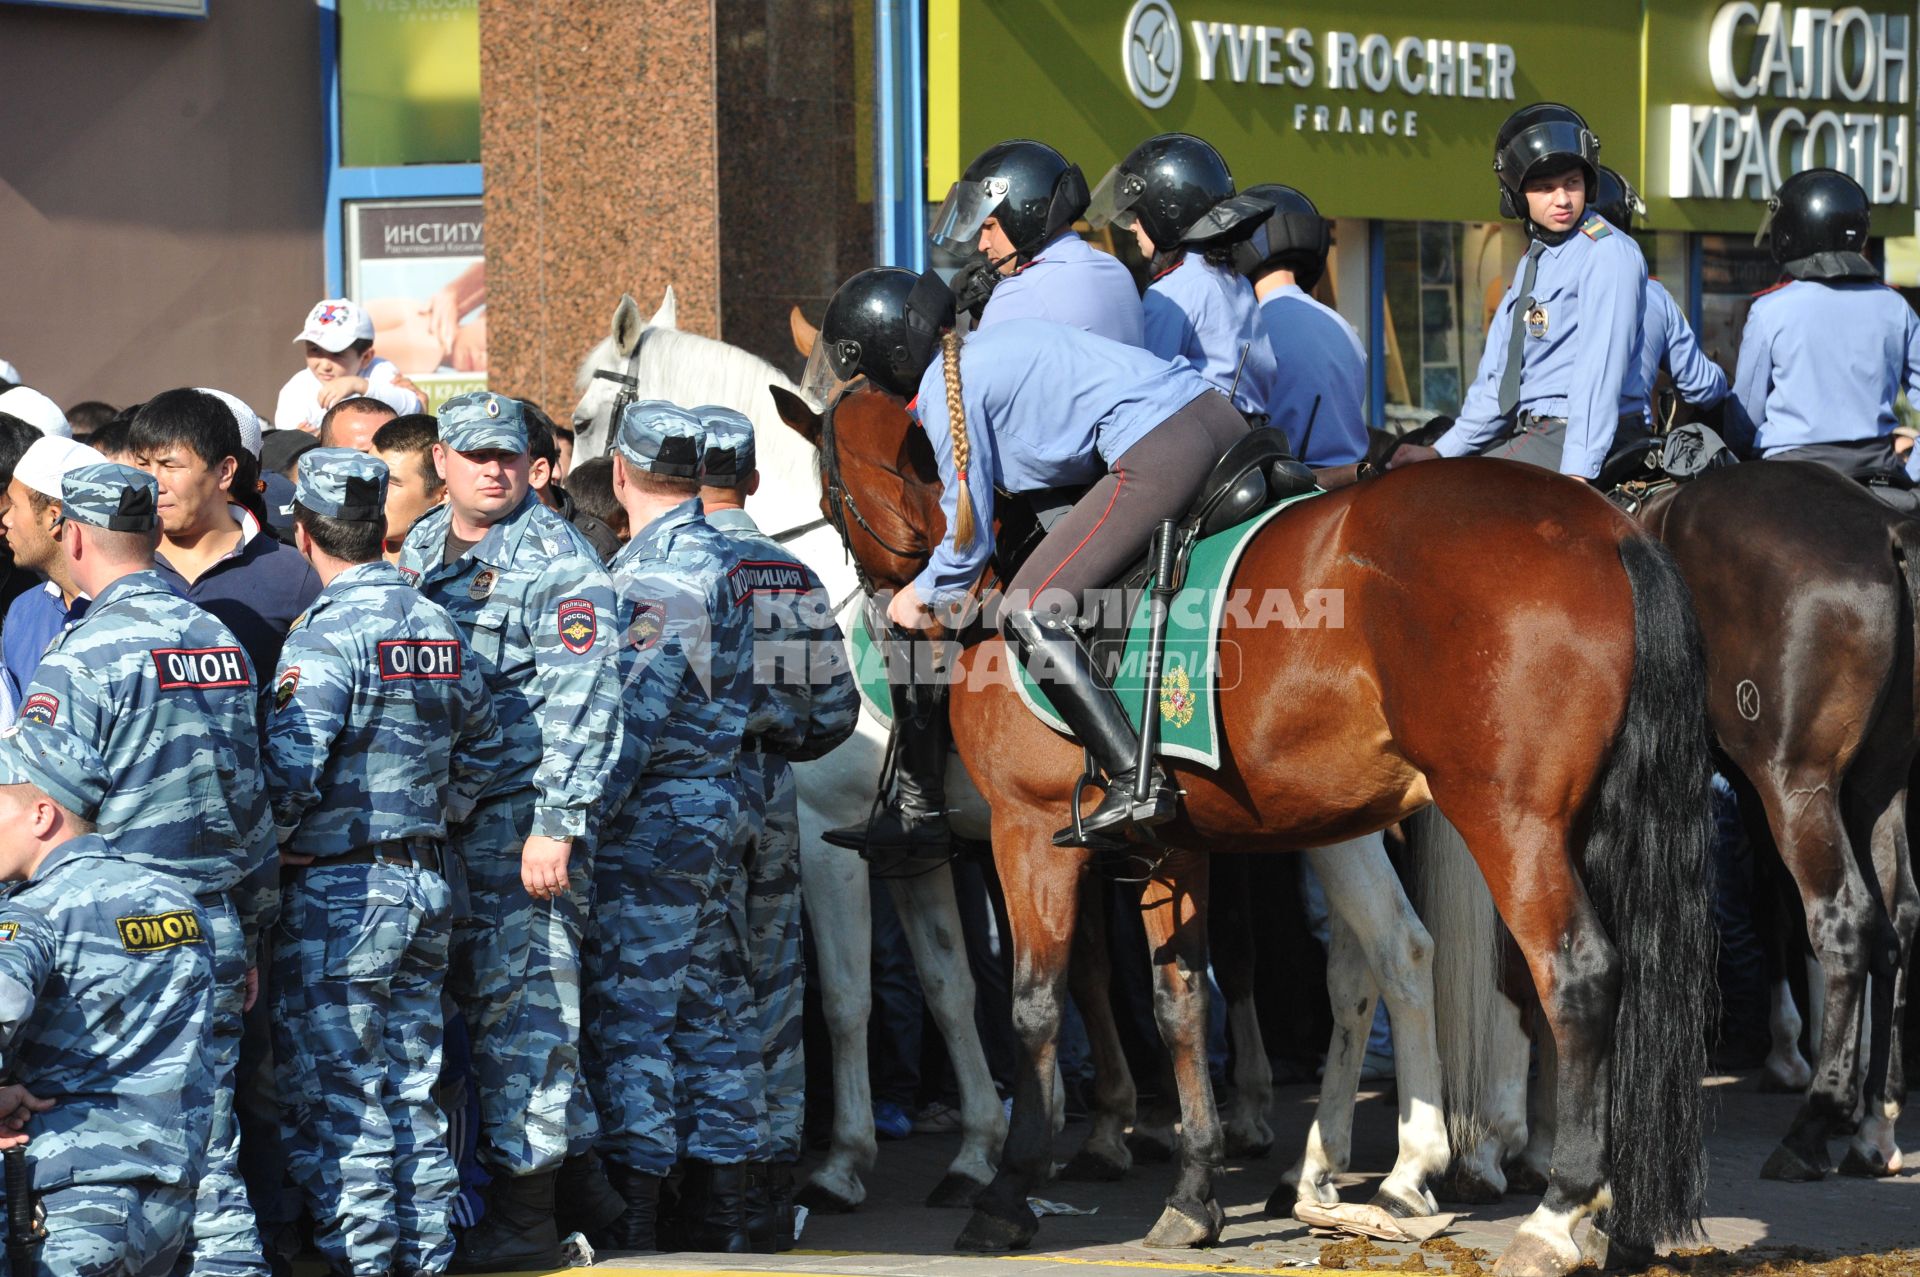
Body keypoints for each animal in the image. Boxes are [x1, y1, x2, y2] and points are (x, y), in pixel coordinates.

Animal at [572, 286, 1451, 1213]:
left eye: (585, 418)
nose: (592, 513)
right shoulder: (910, 850)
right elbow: (951, 987)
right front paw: (980, 1147)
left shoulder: (823, 834)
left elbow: (847, 998)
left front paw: (848, 1157)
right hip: (1327, 818)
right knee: (1378, 960)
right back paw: (1323, 1161)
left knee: (1386, 953)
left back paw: (1402, 1165)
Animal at [779, 380, 1728, 1275]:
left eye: (831, 487)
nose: (894, 613)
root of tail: (1607, 527)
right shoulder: (1165, 845)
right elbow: (1175, 1001)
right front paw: (1192, 1189)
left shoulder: (1023, 831)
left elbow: (1017, 1005)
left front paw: (998, 1184)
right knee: (1434, 963)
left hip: (1506, 819)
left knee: (1566, 975)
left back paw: (1546, 1208)